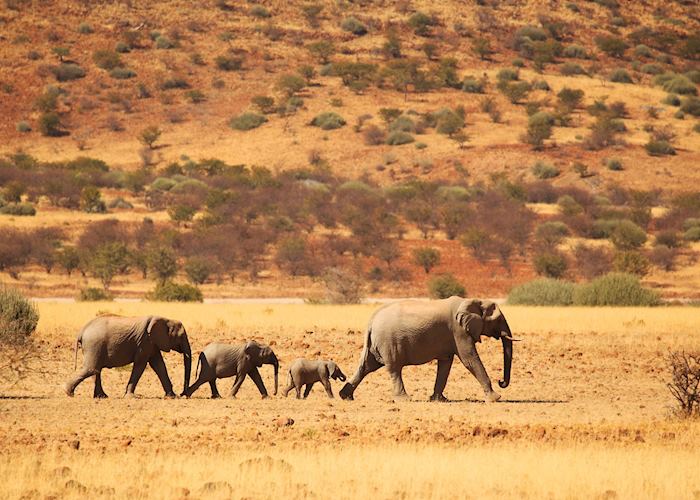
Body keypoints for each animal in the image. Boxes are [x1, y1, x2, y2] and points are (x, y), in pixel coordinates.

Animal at [336, 296, 516, 402]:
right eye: (498, 320)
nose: (501, 382)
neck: (472, 301)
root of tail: (371, 320)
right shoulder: (459, 331)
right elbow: (469, 359)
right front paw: (495, 398)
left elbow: (445, 364)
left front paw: (439, 399)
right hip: (388, 342)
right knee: (394, 368)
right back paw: (404, 399)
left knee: (366, 367)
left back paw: (345, 396)